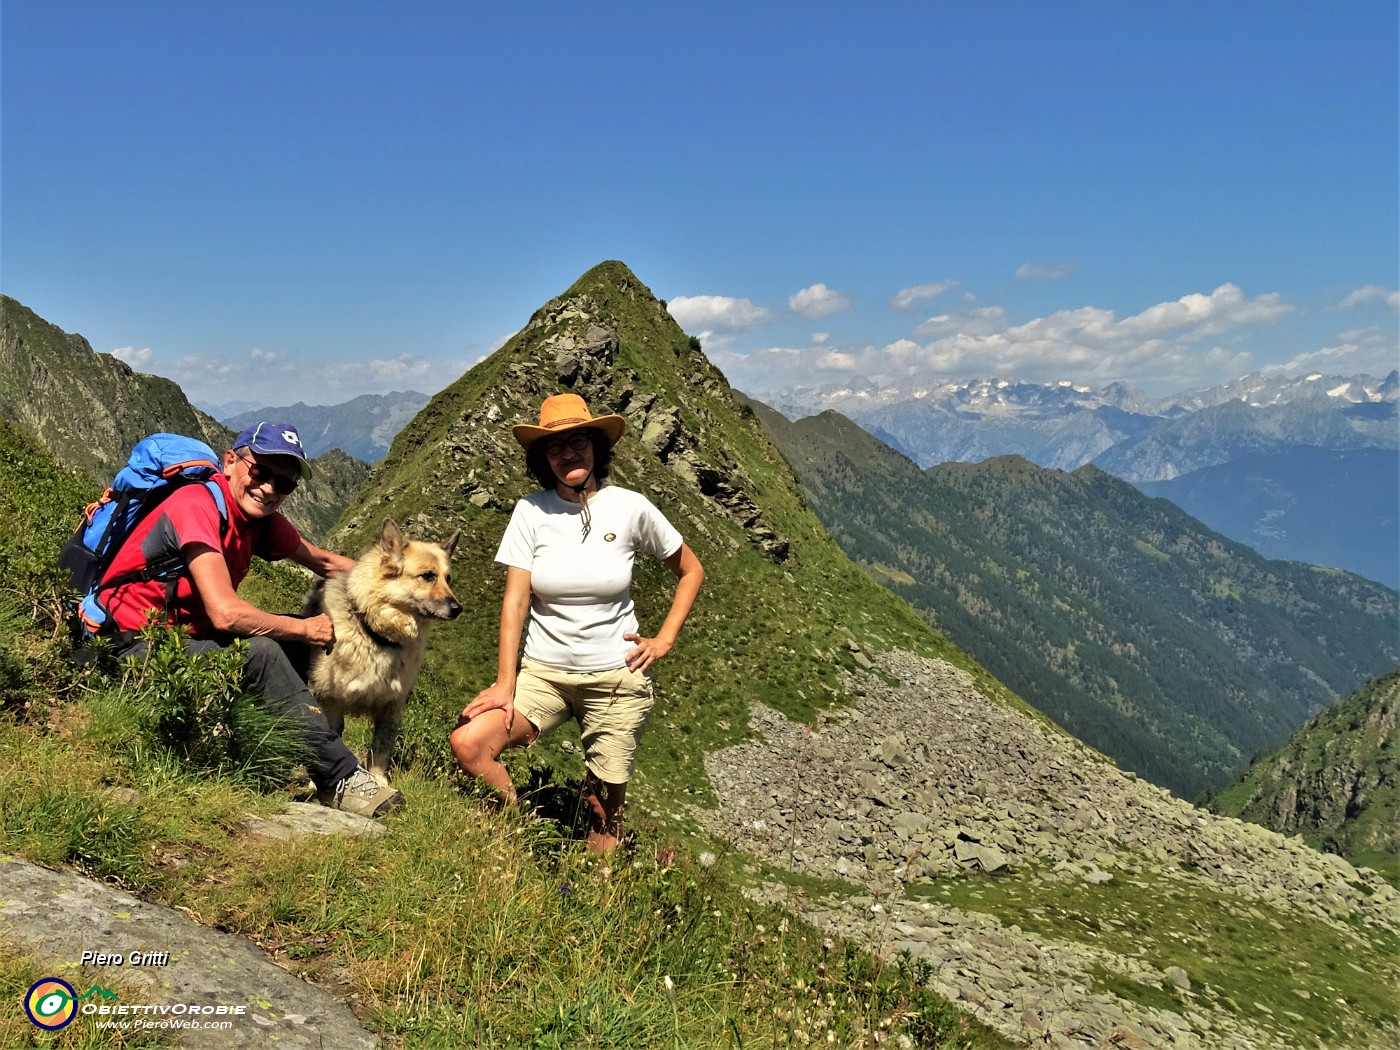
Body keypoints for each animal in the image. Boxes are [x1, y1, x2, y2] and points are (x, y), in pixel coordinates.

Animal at [303, 523, 462, 784]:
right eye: (428, 576)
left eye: (448, 579)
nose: (459, 609)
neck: (378, 636)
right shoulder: (329, 700)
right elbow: (330, 737)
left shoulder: (391, 708)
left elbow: (380, 750)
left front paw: (379, 781)